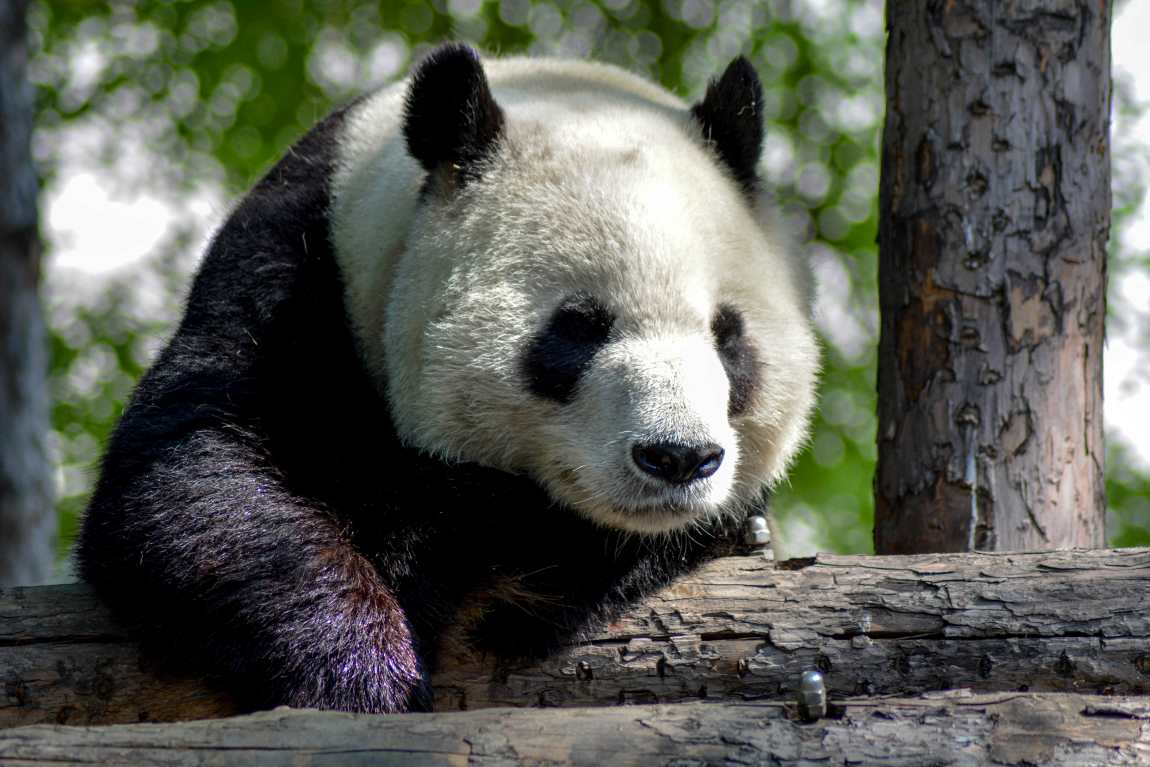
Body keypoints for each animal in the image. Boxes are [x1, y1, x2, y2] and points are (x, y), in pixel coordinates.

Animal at [77, 43, 819, 714]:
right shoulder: (294, 272)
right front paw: (364, 673)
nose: (677, 457)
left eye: (727, 335)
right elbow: (192, 477)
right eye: (578, 326)